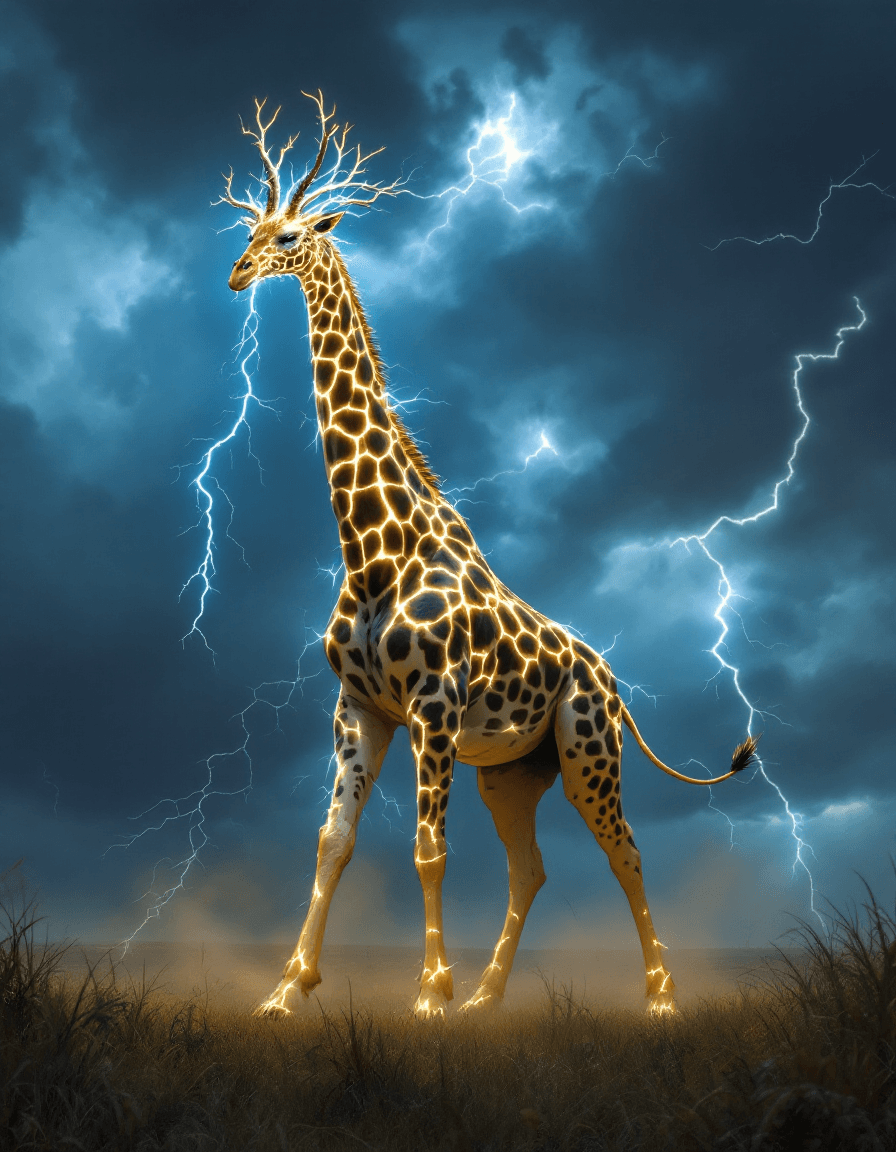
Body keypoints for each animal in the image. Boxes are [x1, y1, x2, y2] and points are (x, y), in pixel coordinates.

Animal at [222, 95, 757, 1019]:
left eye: (288, 236)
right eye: (252, 230)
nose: (236, 274)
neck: (372, 551)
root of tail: (613, 682)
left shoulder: (433, 704)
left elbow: (427, 849)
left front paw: (427, 996)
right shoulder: (359, 708)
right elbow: (332, 841)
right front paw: (288, 992)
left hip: (586, 748)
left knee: (626, 850)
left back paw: (658, 998)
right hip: (511, 773)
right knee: (532, 866)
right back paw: (488, 999)